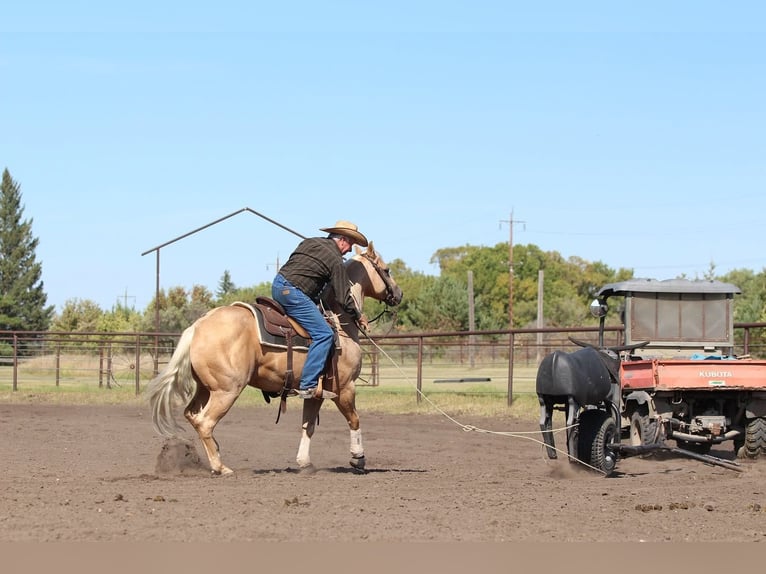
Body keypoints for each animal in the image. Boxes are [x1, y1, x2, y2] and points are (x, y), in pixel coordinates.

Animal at [145, 241, 403, 476]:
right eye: (387, 269)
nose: (399, 294)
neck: (339, 321)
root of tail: (198, 326)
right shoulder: (345, 387)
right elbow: (354, 420)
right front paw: (358, 459)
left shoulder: (315, 391)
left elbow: (308, 426)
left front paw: (304, 463)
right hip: (226, 390)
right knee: (205, 422)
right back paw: (221, 467)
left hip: (206, 388)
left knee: (192, 416)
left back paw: (214, 456)